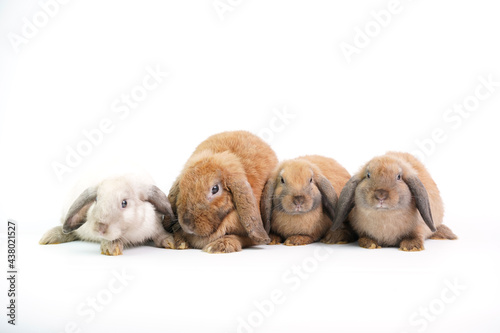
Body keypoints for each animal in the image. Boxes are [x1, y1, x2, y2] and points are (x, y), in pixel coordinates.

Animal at [37, 171, 174, 254]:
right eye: (96, 200)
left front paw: (171, 242)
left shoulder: (155, 225)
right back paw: (49, 237)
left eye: (124, 203)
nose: (99, 228)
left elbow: (160, 233)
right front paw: (111, 248)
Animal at [326, 152, 458, 250]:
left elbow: (416, 235)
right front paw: (369, 243)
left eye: (399, 177)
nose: (381, 195)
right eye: (368, 175)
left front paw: (411, 246)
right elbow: (365, 236)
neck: (384, 216)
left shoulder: (420, 227)